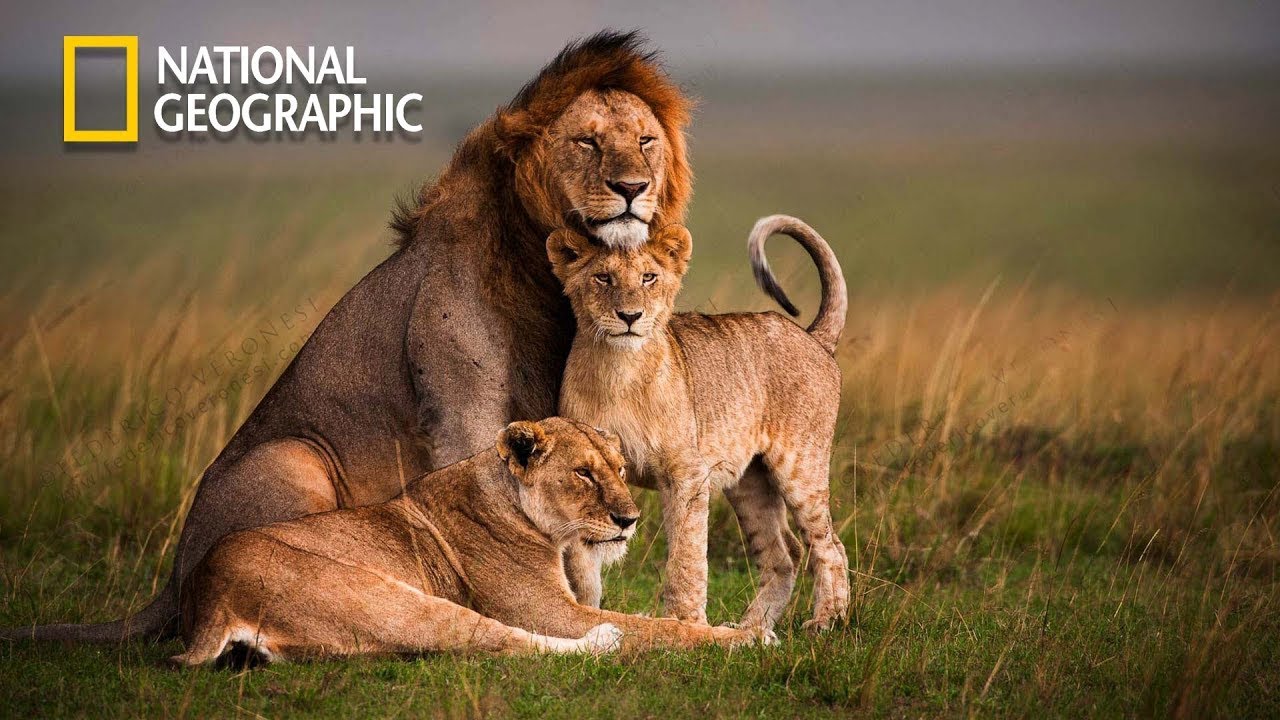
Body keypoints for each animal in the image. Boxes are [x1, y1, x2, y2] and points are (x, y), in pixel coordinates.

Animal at [1, 31, 694, 644]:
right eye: (586, 142)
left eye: (644, 141)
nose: (632, 189)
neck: (541, 268)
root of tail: (172, 582)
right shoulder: (463, 410)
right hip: (293, 458)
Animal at [171, 418, 766, 666]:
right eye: (583, 474)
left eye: (619, 469)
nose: (630, 519)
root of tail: (208, 595)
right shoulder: (549, 611)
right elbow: (660, 629)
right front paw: (743, 636)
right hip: (388, 599)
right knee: (502, 641)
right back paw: (604, 641)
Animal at [549, 216, 851, 632]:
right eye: (603, 278)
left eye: (648, 277)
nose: (630, 317)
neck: (619, 370)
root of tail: (813, 337)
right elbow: (581, 567)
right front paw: (585, 616)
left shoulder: (687, 474)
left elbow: (687, 557)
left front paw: (686, 622)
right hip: (749, 483)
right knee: (784, 554)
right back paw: (751, 629)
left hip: (801, 467)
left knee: (829, 545)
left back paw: (826, 621)